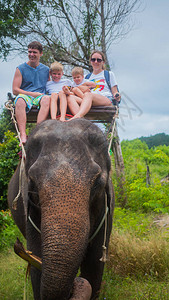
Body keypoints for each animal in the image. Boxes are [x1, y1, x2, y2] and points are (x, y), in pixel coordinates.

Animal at [7, 118, 113, 298]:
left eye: (97, 182)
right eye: (32, 183)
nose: (18, 246)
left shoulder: (106, 212)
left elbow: (94, 267)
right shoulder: (31, 215)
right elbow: (37, 272)